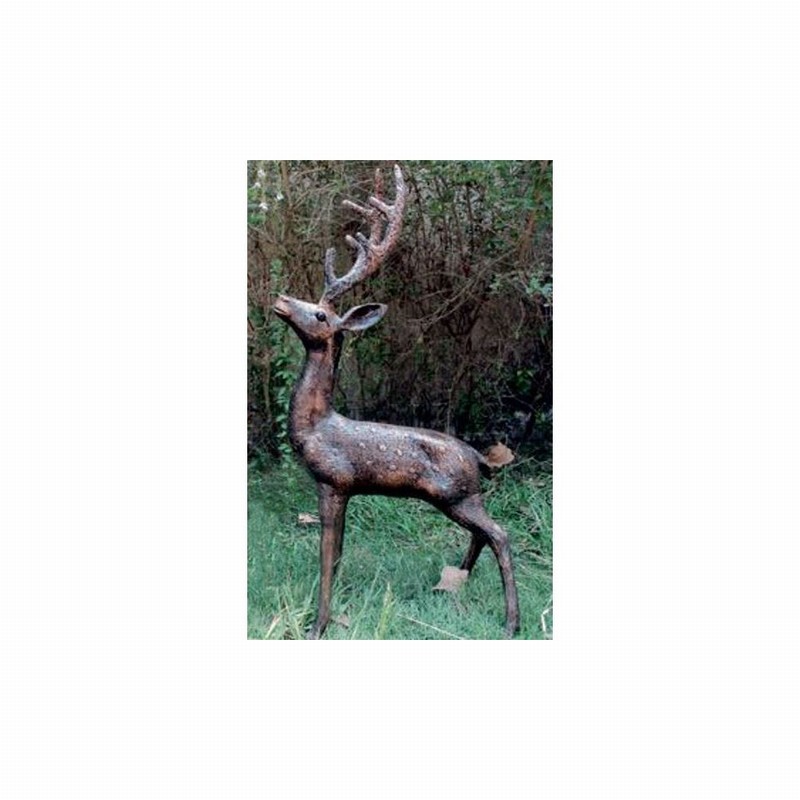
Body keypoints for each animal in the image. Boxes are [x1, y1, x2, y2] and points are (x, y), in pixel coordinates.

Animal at [272, 164, 520, 638]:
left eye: (320, 314)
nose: (279, 298)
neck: (317, 425)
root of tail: (480, 459)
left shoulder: (331, 481)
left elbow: (325, 557)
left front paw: (317, 626)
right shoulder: (348, 489)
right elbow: (337, 555)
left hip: (457, 494)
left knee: (500, 533)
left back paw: (511, 622)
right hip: (461, 497)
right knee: (484, 534)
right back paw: (454, 583)